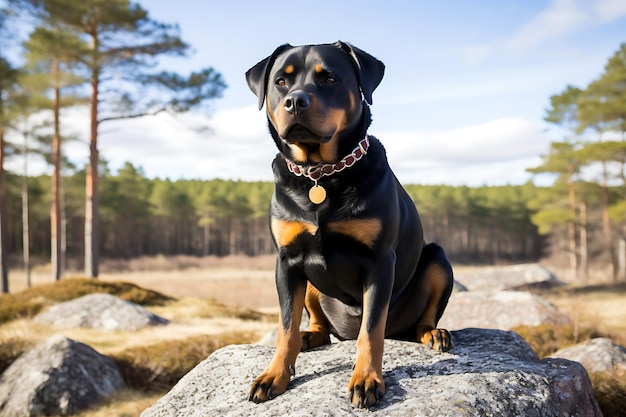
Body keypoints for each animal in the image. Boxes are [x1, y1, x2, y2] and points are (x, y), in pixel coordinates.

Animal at [244, 41, 454, 406]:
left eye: (329, 78)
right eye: (281, 82)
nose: (295, 100)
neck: (321, 176)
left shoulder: (380, 260)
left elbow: (371, 330)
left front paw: (366, 379)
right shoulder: (287, 260)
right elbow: (285, 326)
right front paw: (275, 374)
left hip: (438, 258)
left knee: (423, 315)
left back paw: (433, 333)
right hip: (311, 284)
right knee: (317, 323)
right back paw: (311, 336)